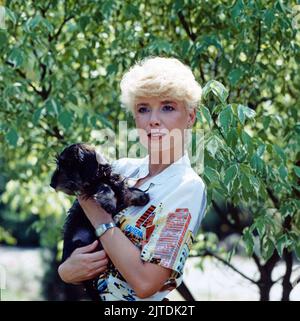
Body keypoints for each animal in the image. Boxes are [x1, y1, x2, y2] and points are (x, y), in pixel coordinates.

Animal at [50, 144, 151, 298]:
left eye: (66, 164)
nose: (51, 183)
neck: (102, 175)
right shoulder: (89, 188)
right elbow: (104, 186)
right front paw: (108, 201)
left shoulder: (116, 185)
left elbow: (123, 190)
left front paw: (140, 195)